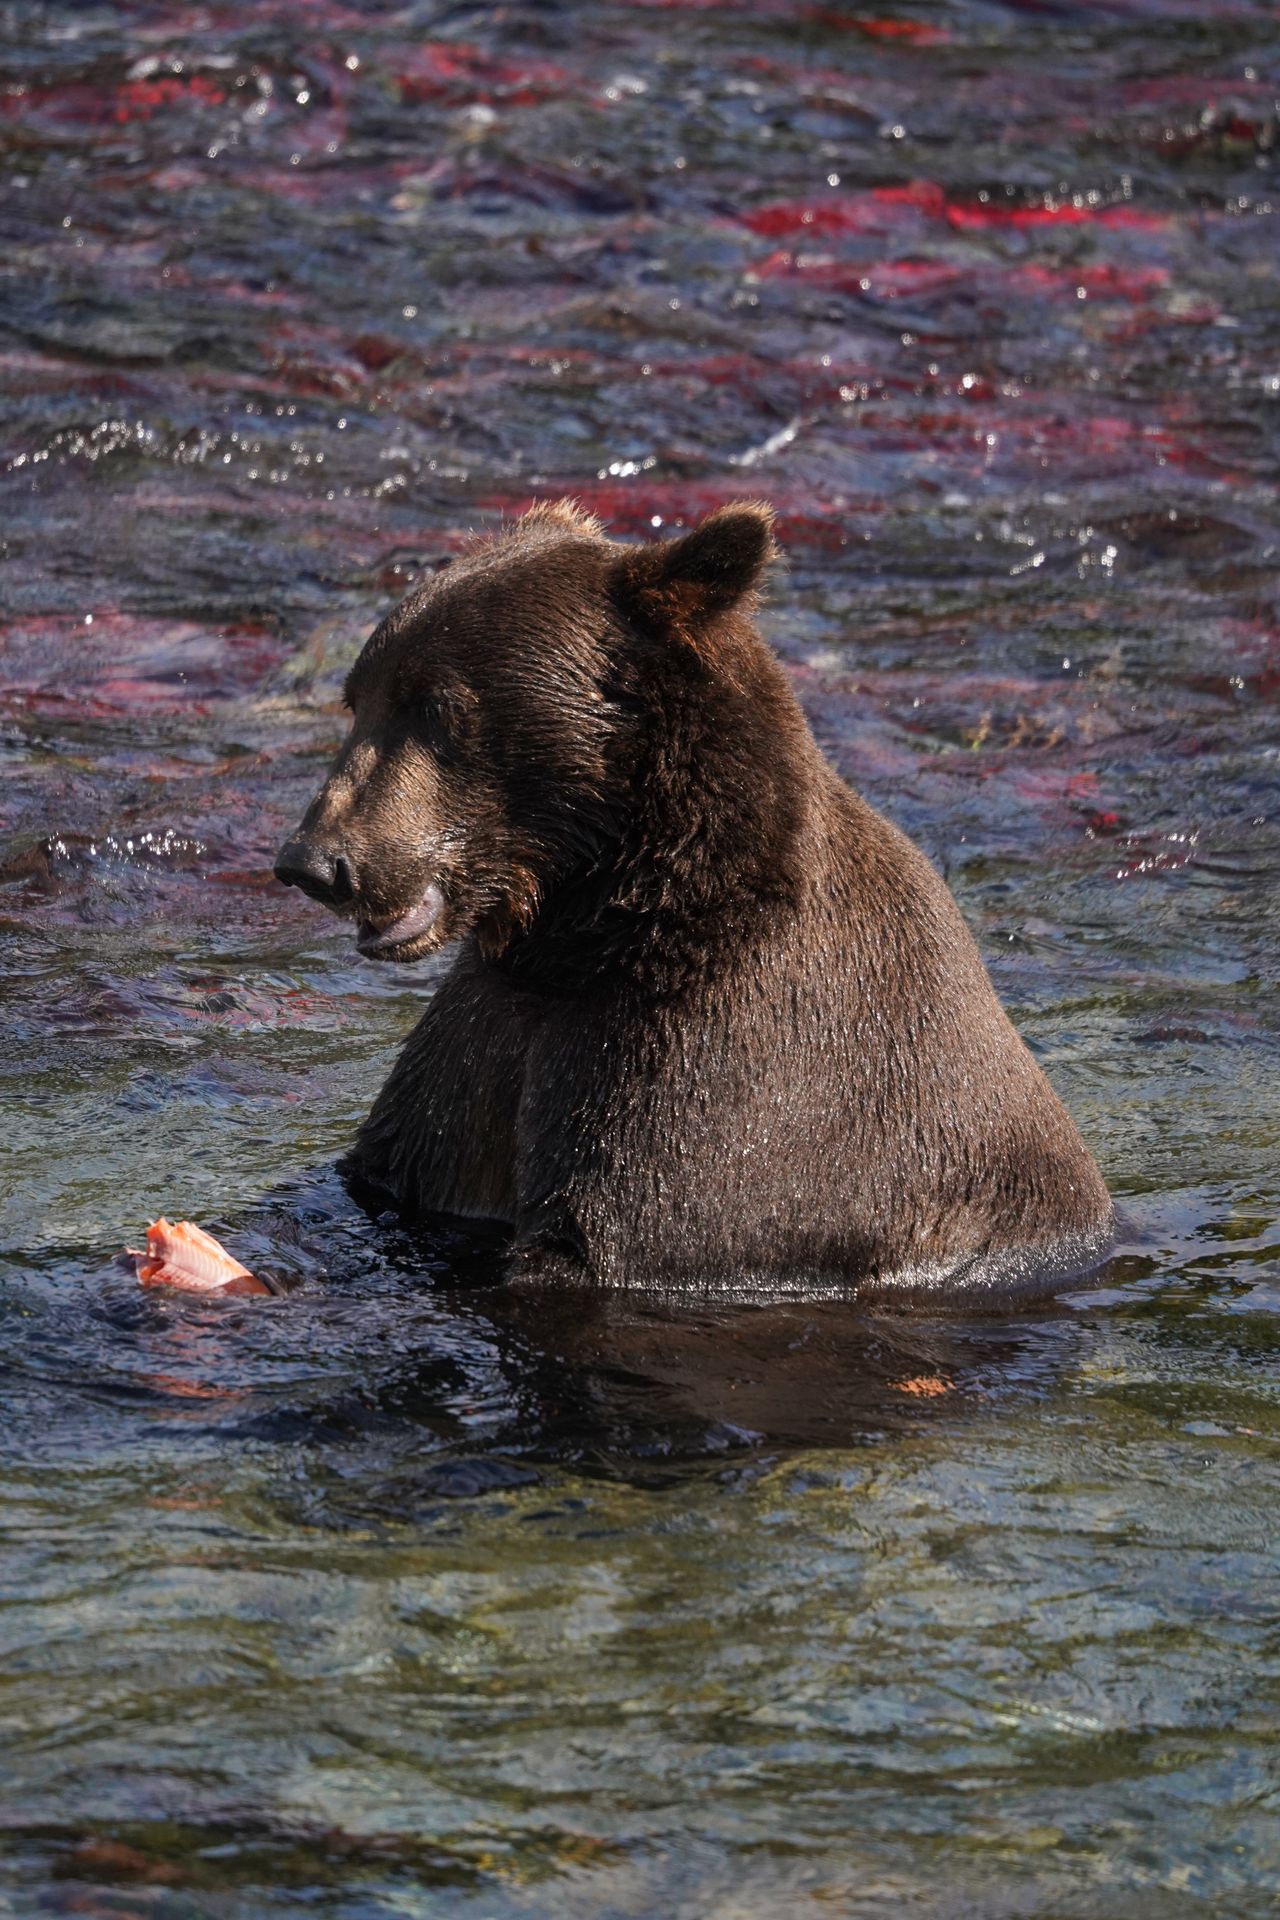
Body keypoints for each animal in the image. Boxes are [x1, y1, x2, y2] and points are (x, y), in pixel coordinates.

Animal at [274, 499, 1113, 1298]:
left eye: (438, 707)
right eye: (358, 698)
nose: (313, 861)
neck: (595, 933)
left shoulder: (737, 1072)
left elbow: (621, 1229)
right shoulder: (478, 1050)